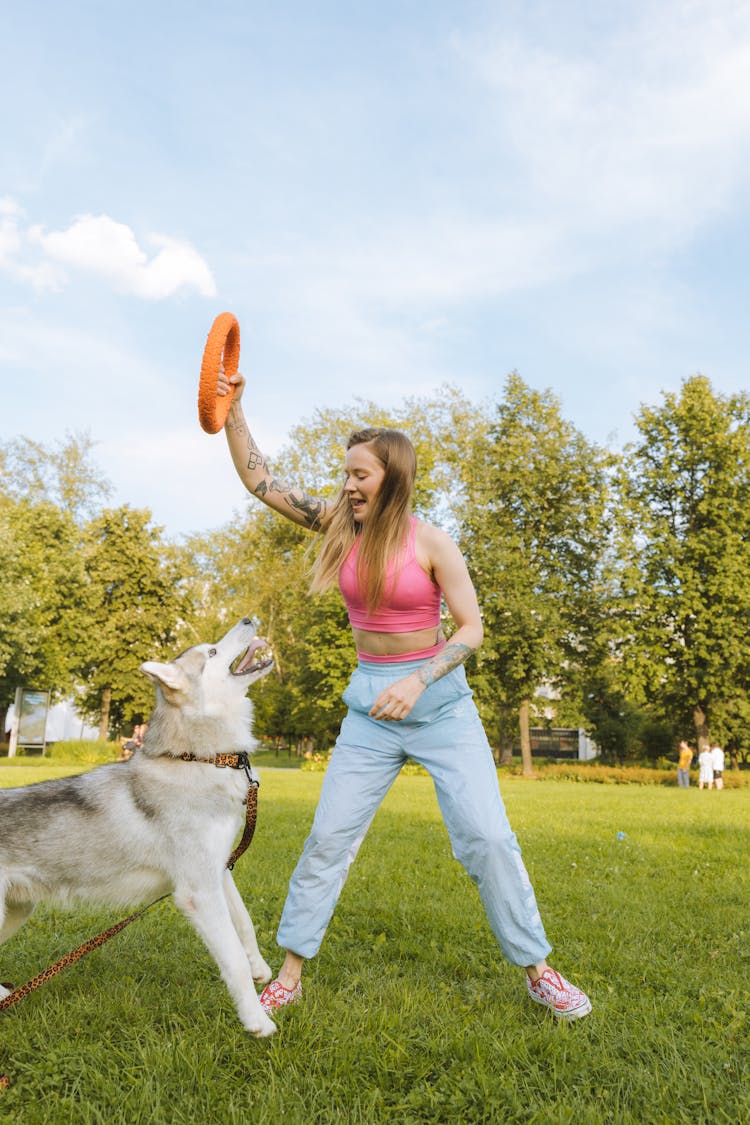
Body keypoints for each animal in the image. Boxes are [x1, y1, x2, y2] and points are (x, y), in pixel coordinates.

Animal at [0, 621, 278, 1030]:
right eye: (211, 652)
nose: (246, 620)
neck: (196, 759)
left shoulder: (218, 871)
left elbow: (245, 923)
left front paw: (260, 968)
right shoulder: (199, 891)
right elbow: (233, 959)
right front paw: (257, 1020)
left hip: (17, 911)